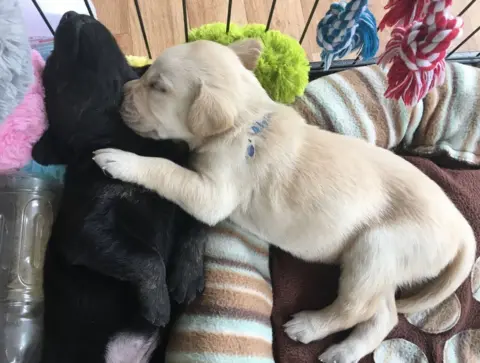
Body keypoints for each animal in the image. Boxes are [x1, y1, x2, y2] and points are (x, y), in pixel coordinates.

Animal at [33, 11, 206, 363]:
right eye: (54, 71)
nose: (70, 13)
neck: (125, 136)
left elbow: (197, 227)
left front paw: (188, 276)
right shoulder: (85, 231)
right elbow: (145, 256)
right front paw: (159, 303)